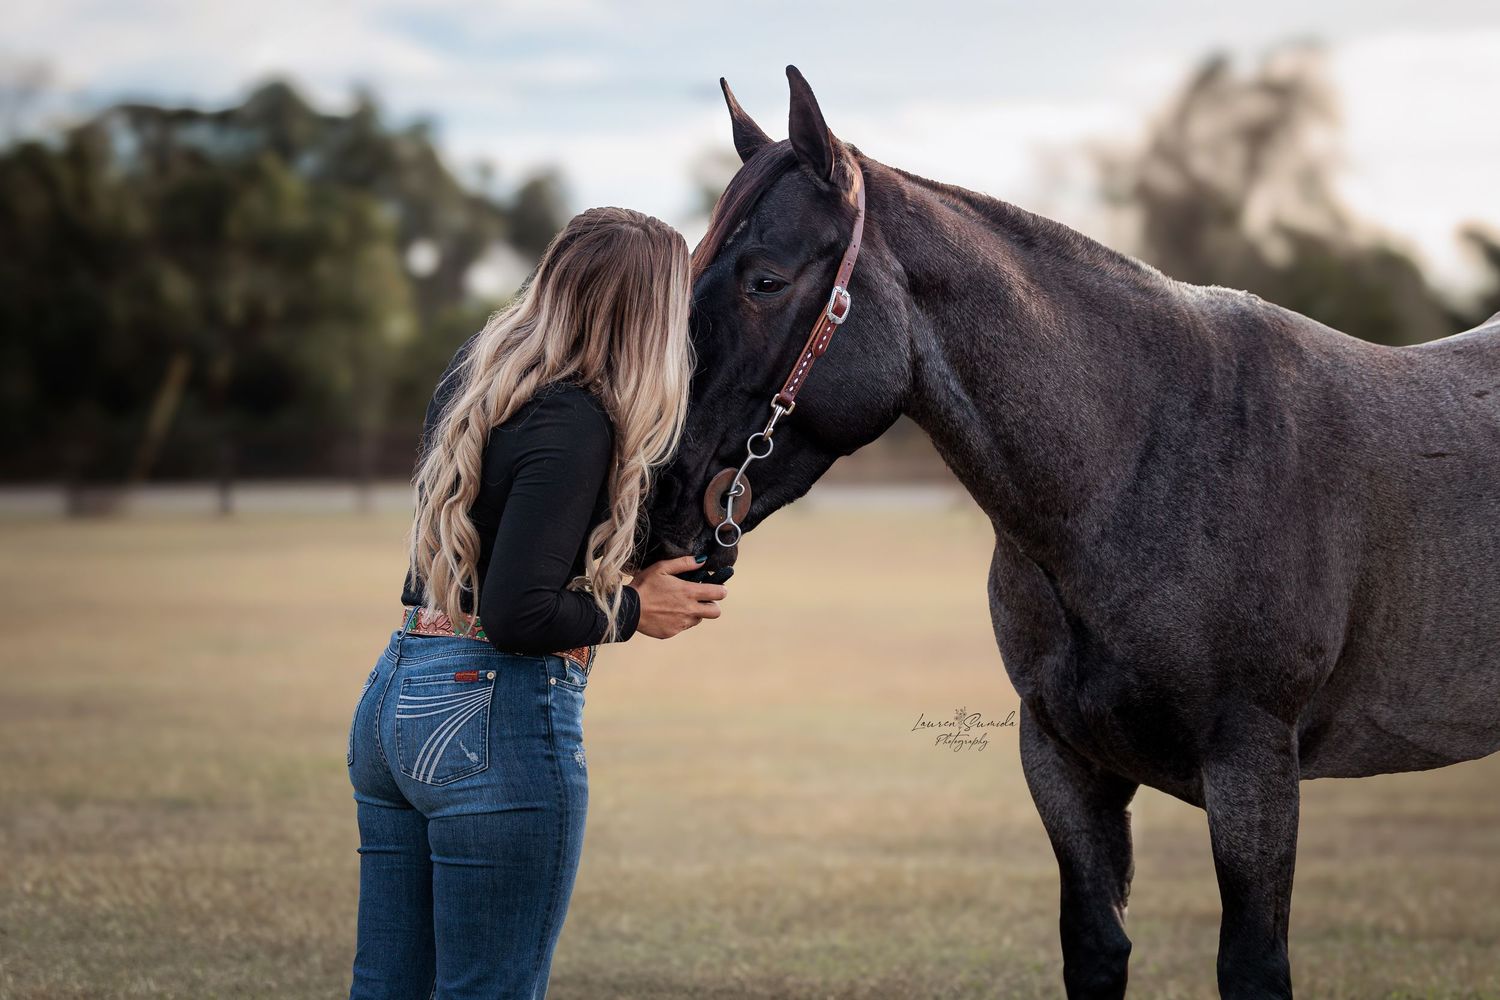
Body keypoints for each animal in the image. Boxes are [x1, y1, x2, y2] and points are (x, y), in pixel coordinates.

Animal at [641, 65, 1500, 999]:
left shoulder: (1255, 769)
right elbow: (1095, 946)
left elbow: (1252, 964)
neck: (1142, 466)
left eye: (763, 281)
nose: (654, 498)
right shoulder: (1061, 762)